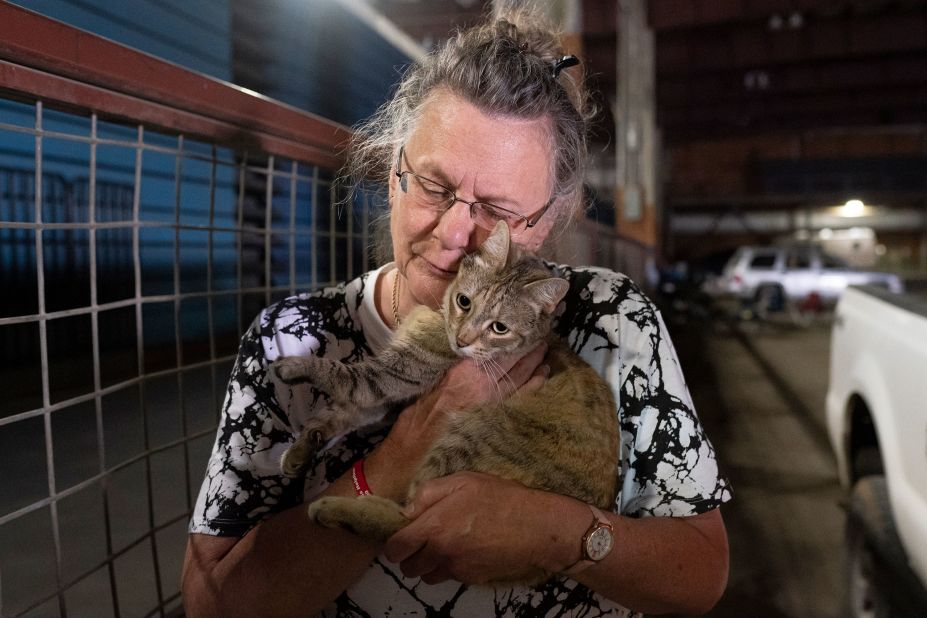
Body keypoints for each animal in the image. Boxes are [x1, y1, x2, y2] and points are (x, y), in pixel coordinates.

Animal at [276, 223, 624, 584]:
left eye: (499, 328)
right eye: (464, 302)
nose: (462, 340)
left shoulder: (394, 374)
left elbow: (344, 376)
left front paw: (295, 367)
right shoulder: (391, 397)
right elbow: (342, 413)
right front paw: (303, 448)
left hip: (470, 436)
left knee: (408, 526)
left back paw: (336, 511)